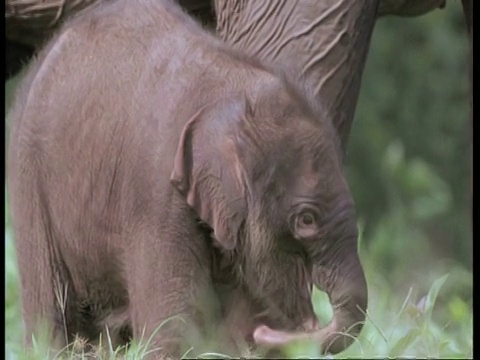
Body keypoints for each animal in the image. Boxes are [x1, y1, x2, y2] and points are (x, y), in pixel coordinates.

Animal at [7, 0, 366, 358]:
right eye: (306, 219)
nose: (269, 332)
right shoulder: (156, 194)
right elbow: (173, 326)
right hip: (28, 175)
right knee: (49, 312)